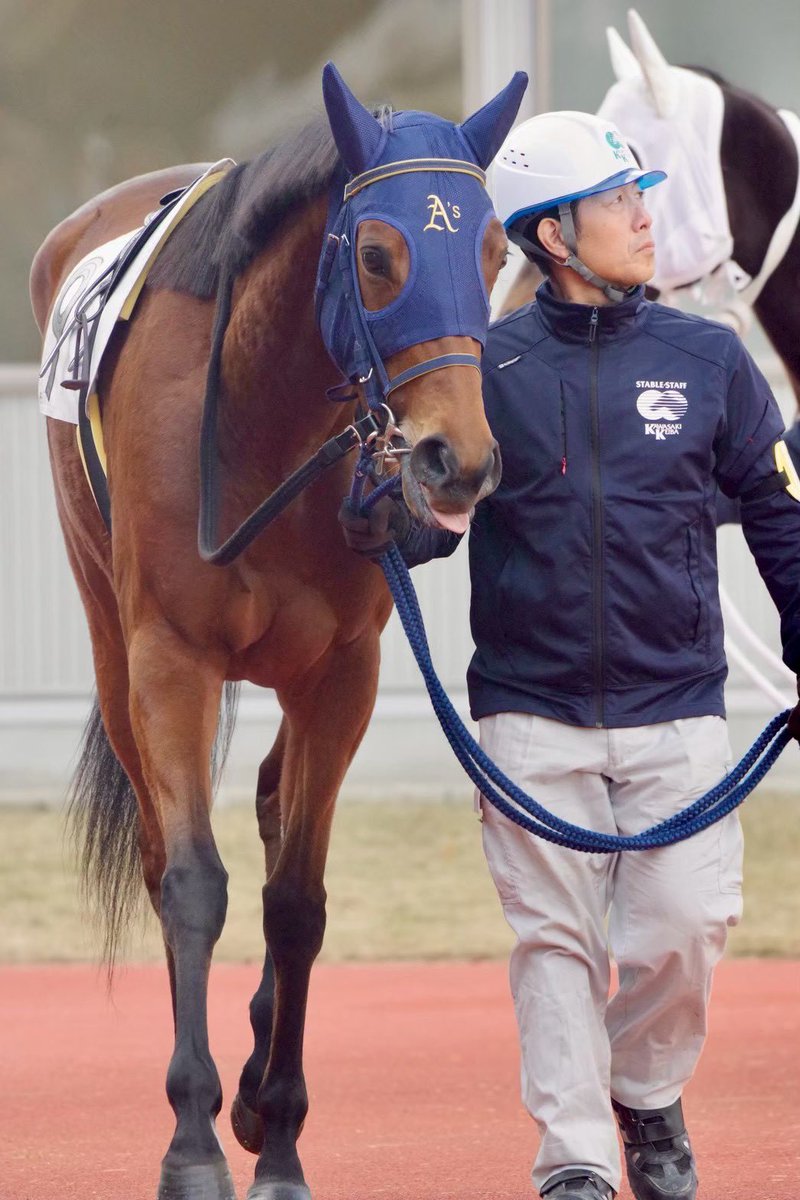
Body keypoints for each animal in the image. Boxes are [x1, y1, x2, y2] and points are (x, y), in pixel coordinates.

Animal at [29, 63, 526, 1200]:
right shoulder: (169, 660)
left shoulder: (341, 670)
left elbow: (296, 902)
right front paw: (193, 1144)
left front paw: (281, 1135)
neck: (264, 417)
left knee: (267, 802)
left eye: (491, 250)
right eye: (378, 255)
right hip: (109, 638)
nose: (457, 460)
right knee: (167, 843)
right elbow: (190, 883)